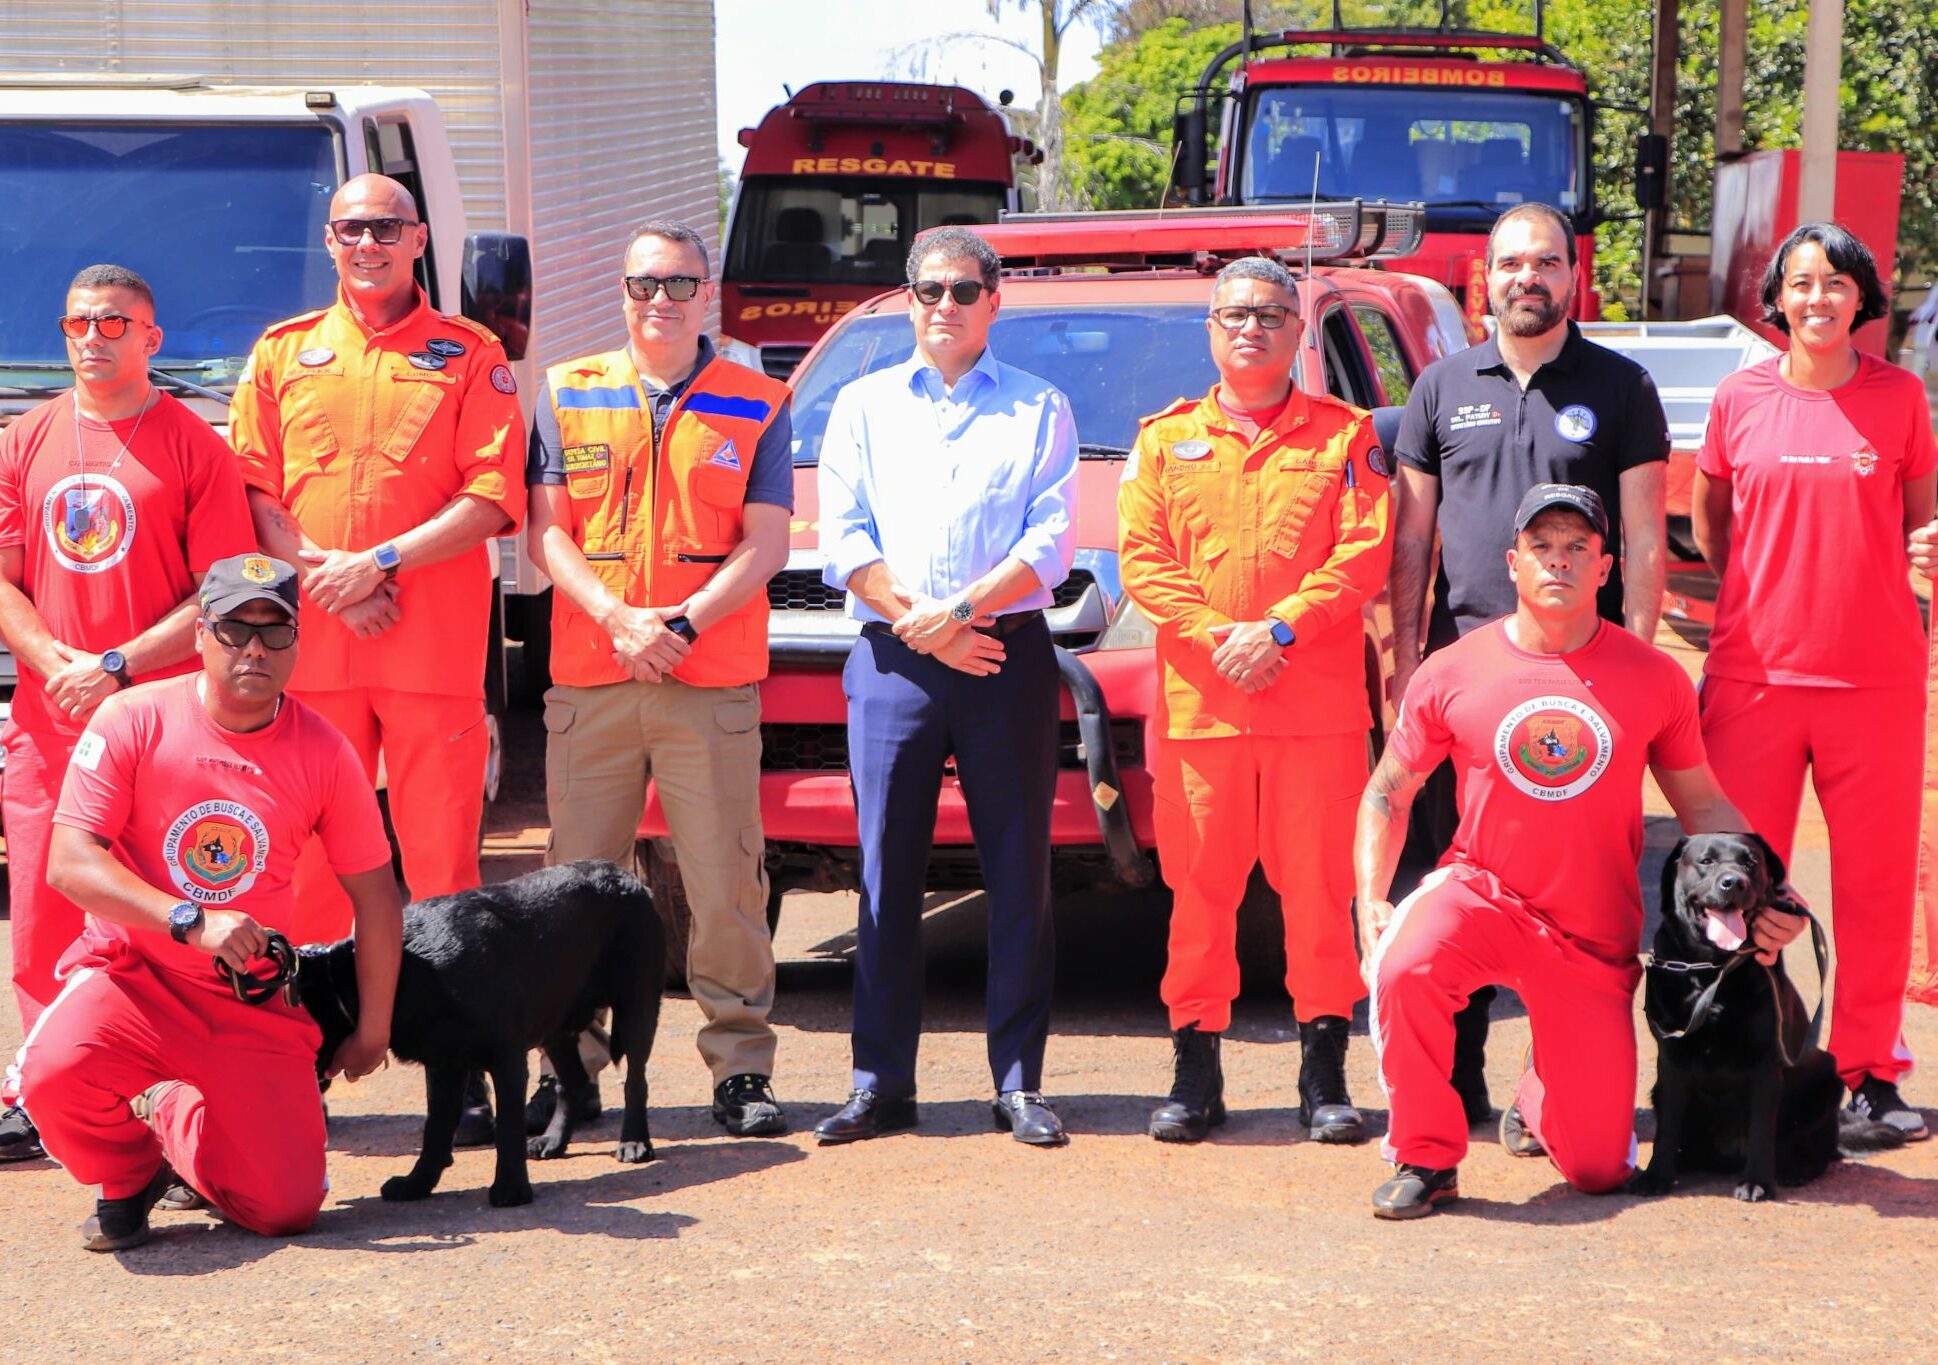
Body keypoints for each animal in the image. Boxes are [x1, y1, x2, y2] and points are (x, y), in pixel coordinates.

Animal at [300, 864, 666, 1202]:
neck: (410, 968)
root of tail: (628, 878)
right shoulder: (444, 1066)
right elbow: (435, 1129)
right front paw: (417, 1183)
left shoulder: (507, 1061)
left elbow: (507, 1129)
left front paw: (511, 1189)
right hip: (555, 1024)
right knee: (573, 1080)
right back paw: (553, 1139)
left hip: (636, 1007)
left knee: (635, 1081)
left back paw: (634, 1141)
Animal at [1627, 829, 1837, 1202]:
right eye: (1706, 861)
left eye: (1751, 862)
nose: (1734, 882)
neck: (1713, 969)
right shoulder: (1672, 1059)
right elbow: (1667, 1128)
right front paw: (1656, 1176)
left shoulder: (1766, 1061)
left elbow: (1761, 1129)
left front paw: (1756, 1182)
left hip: (1828, 1074)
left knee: (1819, 1146)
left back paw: (1796, 1168)